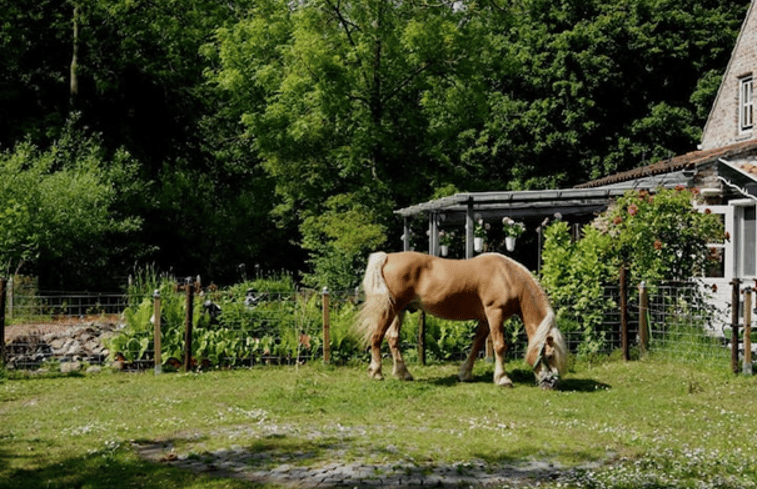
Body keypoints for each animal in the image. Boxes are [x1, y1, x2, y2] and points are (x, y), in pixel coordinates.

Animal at [356, 250, 568, 386]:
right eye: (549, 355)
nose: (553, 383)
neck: (507, 277)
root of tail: (388, 257)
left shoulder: (485, 320)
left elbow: (476, 346)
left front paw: (465, 374)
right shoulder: (495, 313)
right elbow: (499, 346)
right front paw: (502, 379)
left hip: (400, 311)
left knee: (393, 339)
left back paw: (403, 374)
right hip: (390, 309)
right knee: (376, 337)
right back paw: (376, 372)